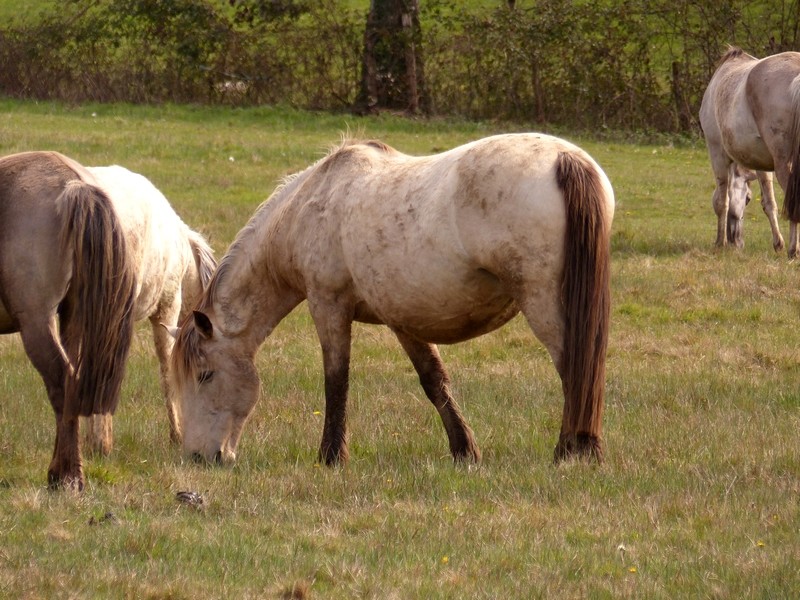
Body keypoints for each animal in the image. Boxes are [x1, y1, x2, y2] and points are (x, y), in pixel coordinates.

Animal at [172, 136, 616, 468]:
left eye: (205, 375)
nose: (199, 457)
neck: (308, 207)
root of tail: (566, 159)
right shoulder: (404, 320)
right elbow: (434, 381)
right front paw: (464, 452)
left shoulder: (328, 307)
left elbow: (337, 382)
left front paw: (331, 457)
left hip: (545, 306)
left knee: (575, 369)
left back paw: (573, 451)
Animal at [696, 45, 800, 255]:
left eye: (747, 200)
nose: (737, 241)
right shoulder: (760, 162)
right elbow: (769, 203)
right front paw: (778, 243)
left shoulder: (717, 153)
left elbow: (722, 201)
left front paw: (720, 242)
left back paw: (794, 250)